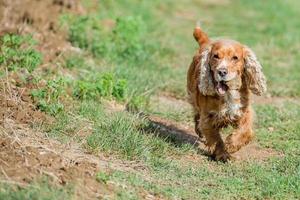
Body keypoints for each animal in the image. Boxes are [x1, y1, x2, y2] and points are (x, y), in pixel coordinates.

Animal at [188, 25, 268, 162]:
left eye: (235, 58)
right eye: (215, 56)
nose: (222, 72)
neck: (228, 94)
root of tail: (206, 42)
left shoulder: (244, 111)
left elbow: (246, 131)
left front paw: (232, 144)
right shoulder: (208, 117)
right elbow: (215, 138)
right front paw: (223, 154)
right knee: (196, 114)